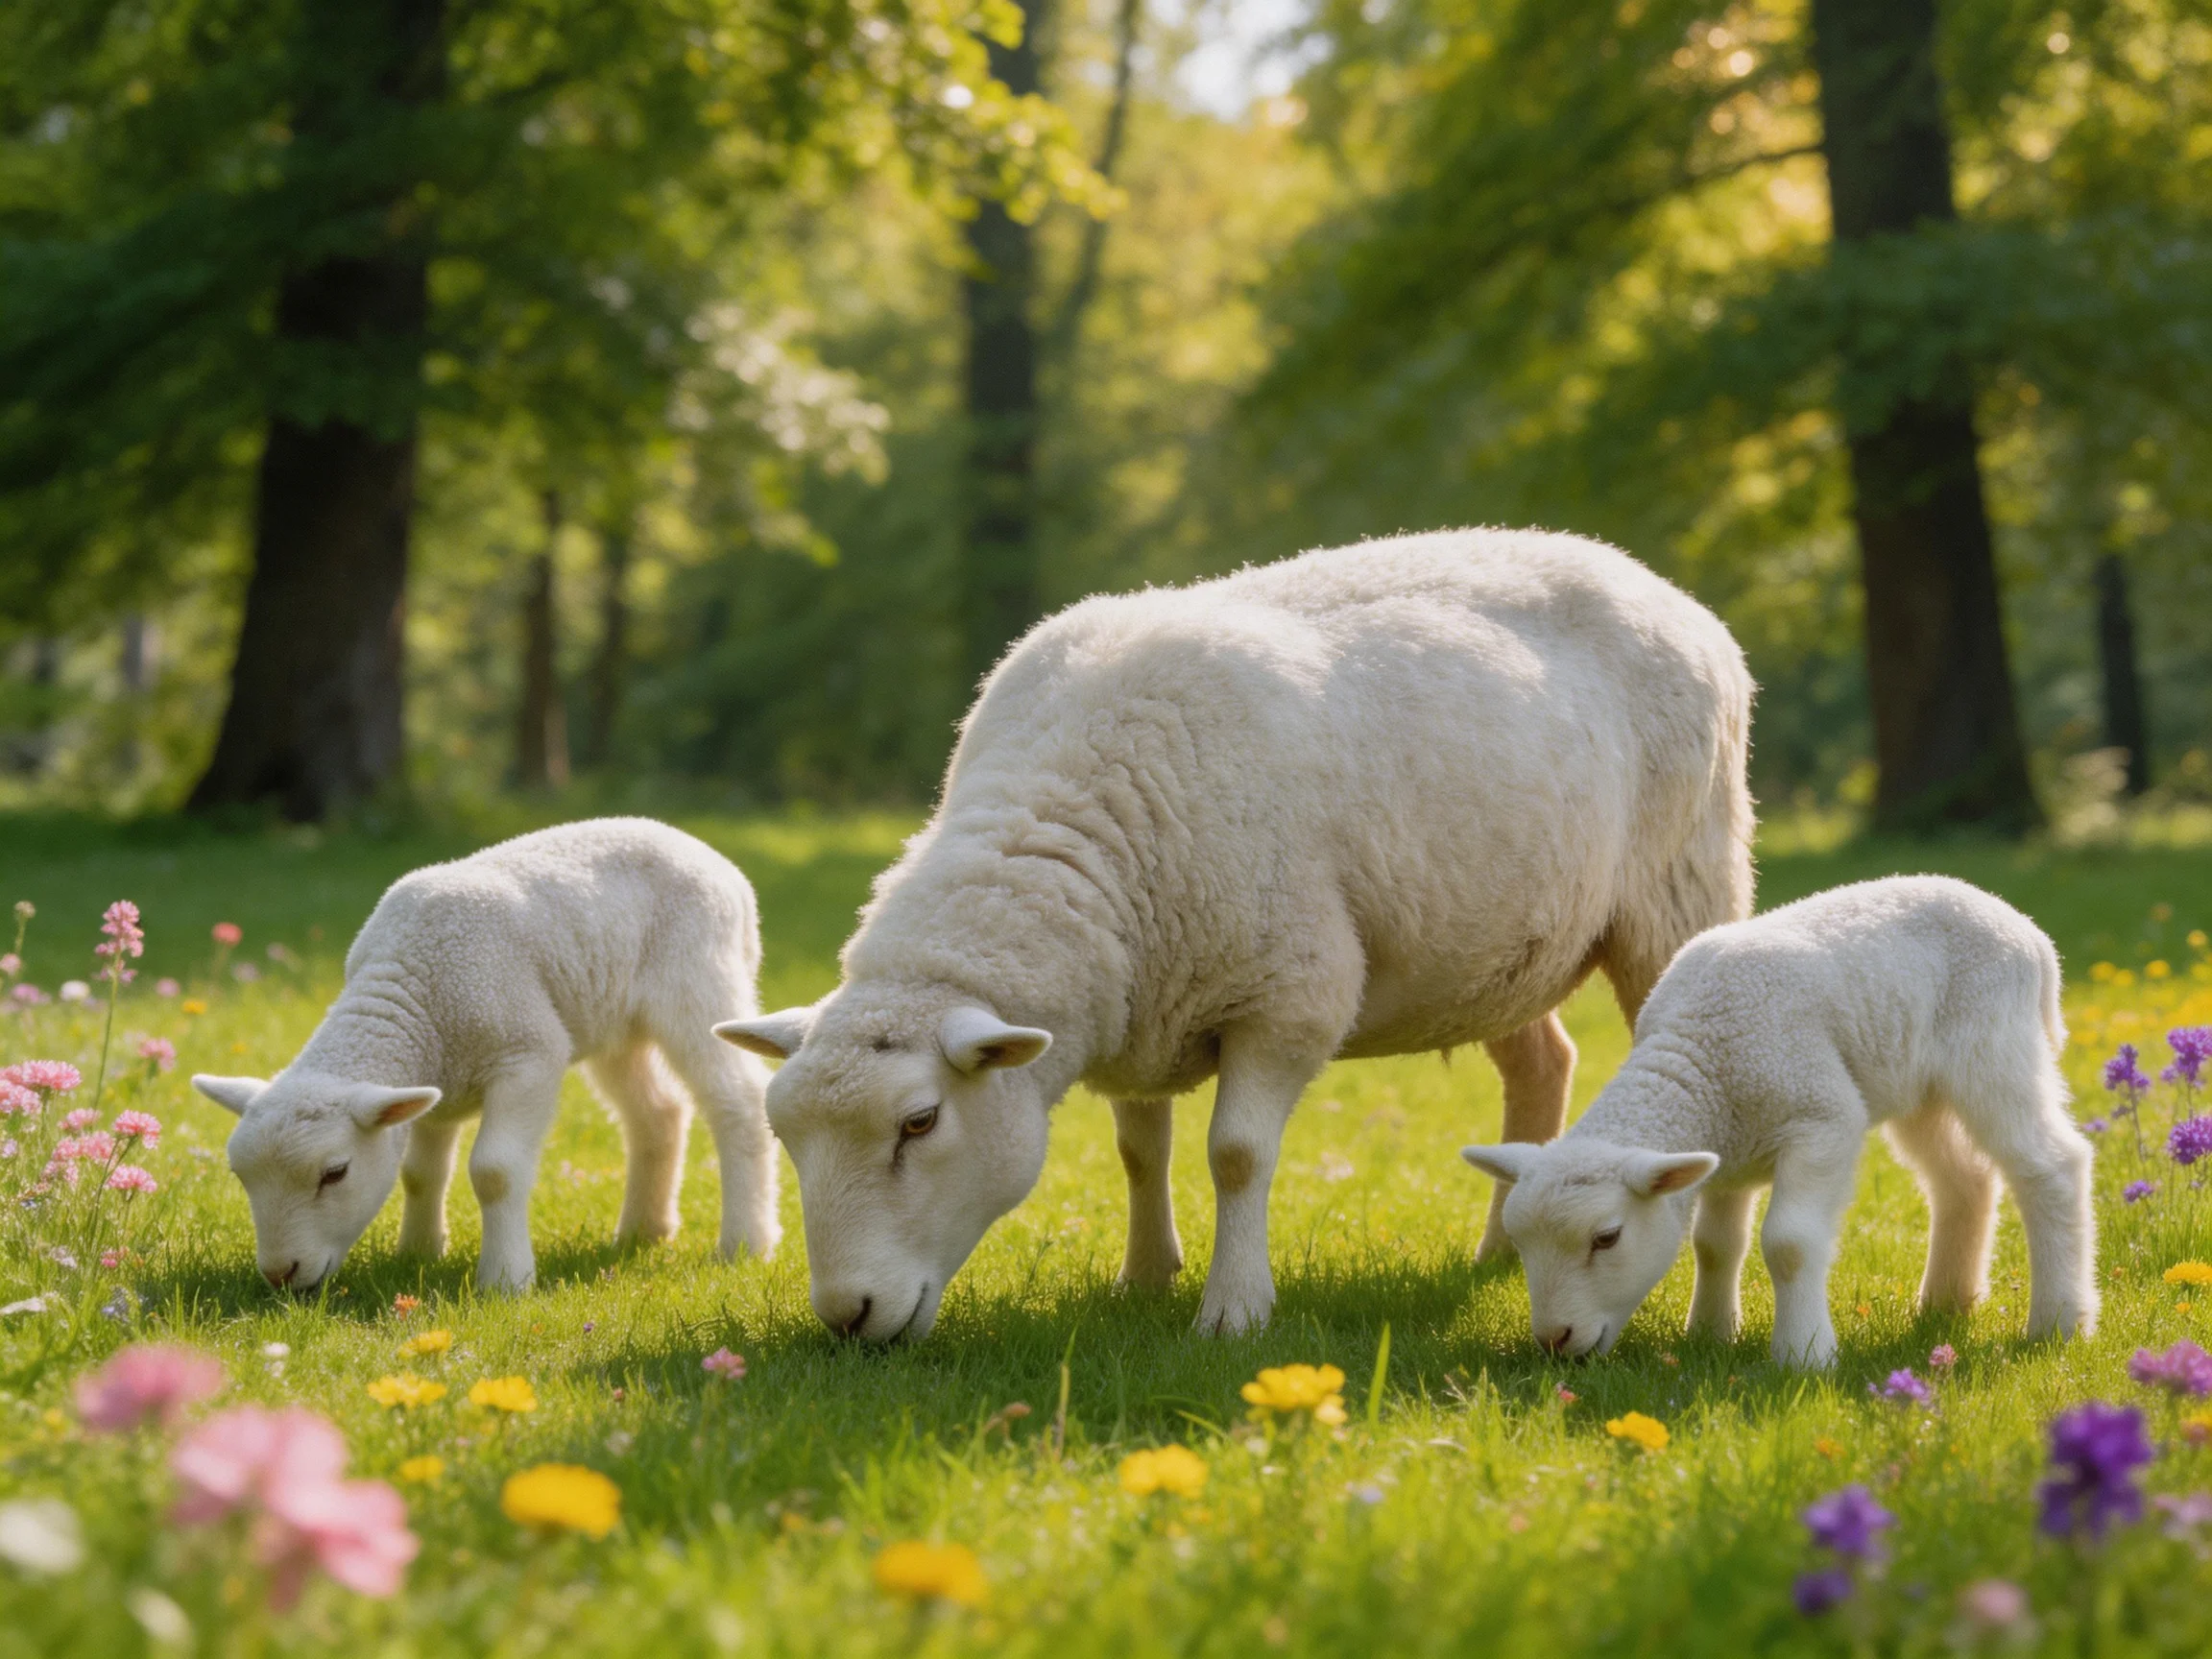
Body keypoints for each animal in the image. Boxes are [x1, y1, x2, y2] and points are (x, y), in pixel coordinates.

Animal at [192, 818, 779, 1293]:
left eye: (334, 1173)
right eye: (239, 1175)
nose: (279, 1274)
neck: (411, 994)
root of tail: (722, 867)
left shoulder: (528, 1055)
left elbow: (495, 1171)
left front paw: (505, 1280)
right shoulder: (434, 1084)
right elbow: (419, 1173)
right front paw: (418, 1252)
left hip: (699, 980)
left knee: (737, 1101)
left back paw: (745, 1243)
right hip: (614, 1023)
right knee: (658, 1112)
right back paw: (643, 1231)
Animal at [716, 527, 1754, 1341]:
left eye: (919, 1123)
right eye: (787, 1133)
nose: (845, 1316)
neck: (1076, 825)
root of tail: (1653, 581)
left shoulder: (1288, 994)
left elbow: (1237, 1155)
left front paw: (1235, 1308)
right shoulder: (1138, 1001)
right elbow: (1141, 1150)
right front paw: (1142, 1277)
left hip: (1680, 891)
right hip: (1491, 945)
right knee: (1542, 1063)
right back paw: (1503, 1246)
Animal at [1461, 875, 2100, 1370]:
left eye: (1606, 1237)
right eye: (1519, 1244)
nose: (1554, 1340)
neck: (1699, 1060)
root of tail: (2030, 934)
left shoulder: (1821, 1119)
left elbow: (1789, 1243)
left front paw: (1804, 1355)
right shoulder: (1727, 1153)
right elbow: (1714, 1245)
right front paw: (1710, 1334)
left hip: (1994, 1047)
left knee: (2050, 1166)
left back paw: (2058, 1322)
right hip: (1919, 1086)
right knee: (1963, 1178)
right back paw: (1946, 1302)